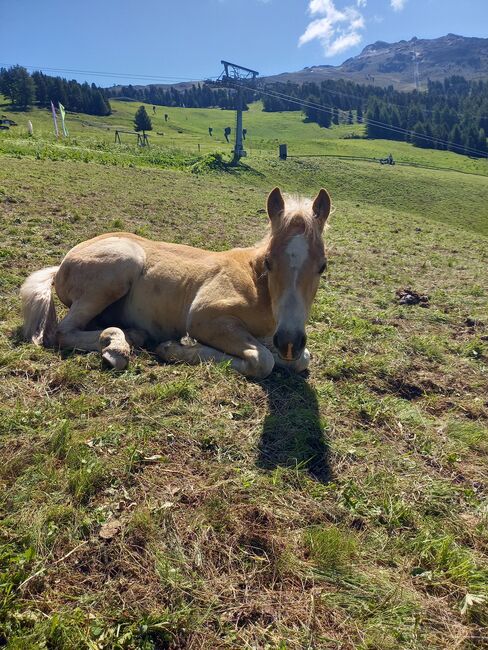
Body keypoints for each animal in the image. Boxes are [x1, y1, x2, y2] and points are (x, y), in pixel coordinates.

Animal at [20, 186, 332, 380]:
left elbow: (300, 358)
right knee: (62, 332)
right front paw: (174, 348)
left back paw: (131, 335)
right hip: (120, 266)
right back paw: (117, 347)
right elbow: (262, 360)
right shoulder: (204, 316)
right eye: (269, 262)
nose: (289, 342)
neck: (257, 285)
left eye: (322, 266)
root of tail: (61, 264)